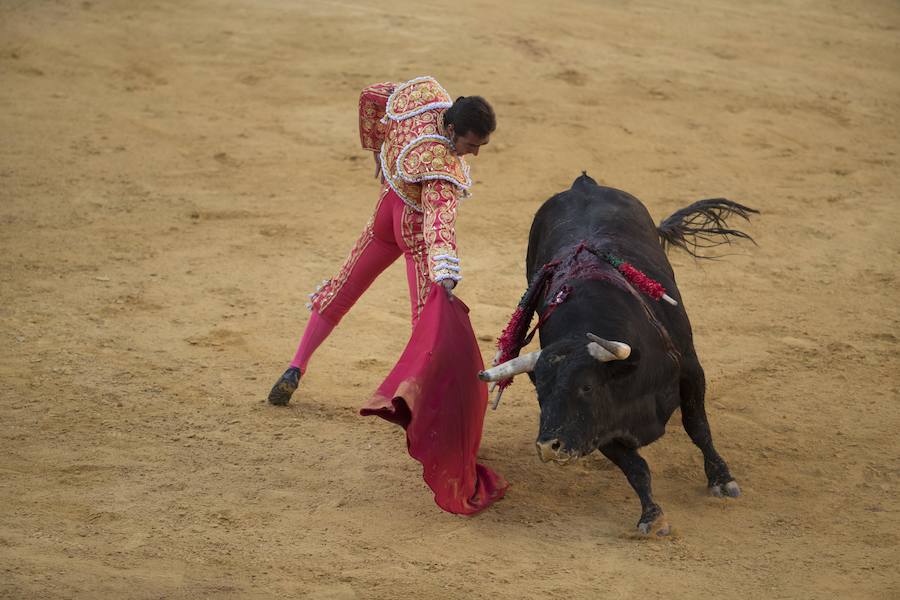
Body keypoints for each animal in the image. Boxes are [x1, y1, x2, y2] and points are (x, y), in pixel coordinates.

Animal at [482, 173, 756, 536]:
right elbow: (635, 467)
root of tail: (584, 184)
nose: (547, 448)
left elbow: (698, 426)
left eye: (585, 386)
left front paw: (722, 480)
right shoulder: (600, 425)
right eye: (539, 392)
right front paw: (652, 517)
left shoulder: (690, 370)